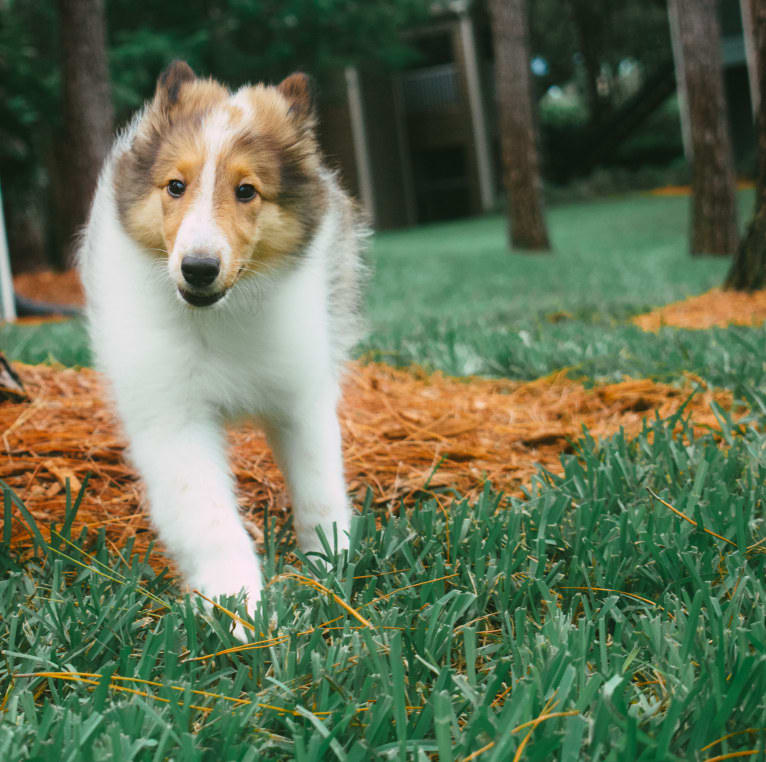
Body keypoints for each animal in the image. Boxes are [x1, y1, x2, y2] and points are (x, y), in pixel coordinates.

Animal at [79, 58, 368, 628]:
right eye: (175, 185)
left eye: (246, 190)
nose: (198, 268)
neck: (219, 317)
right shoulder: (173, 418)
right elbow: (209, 519)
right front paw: (241, 610)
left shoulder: (301, 397)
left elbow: (320, 492)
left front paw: (327, 574)